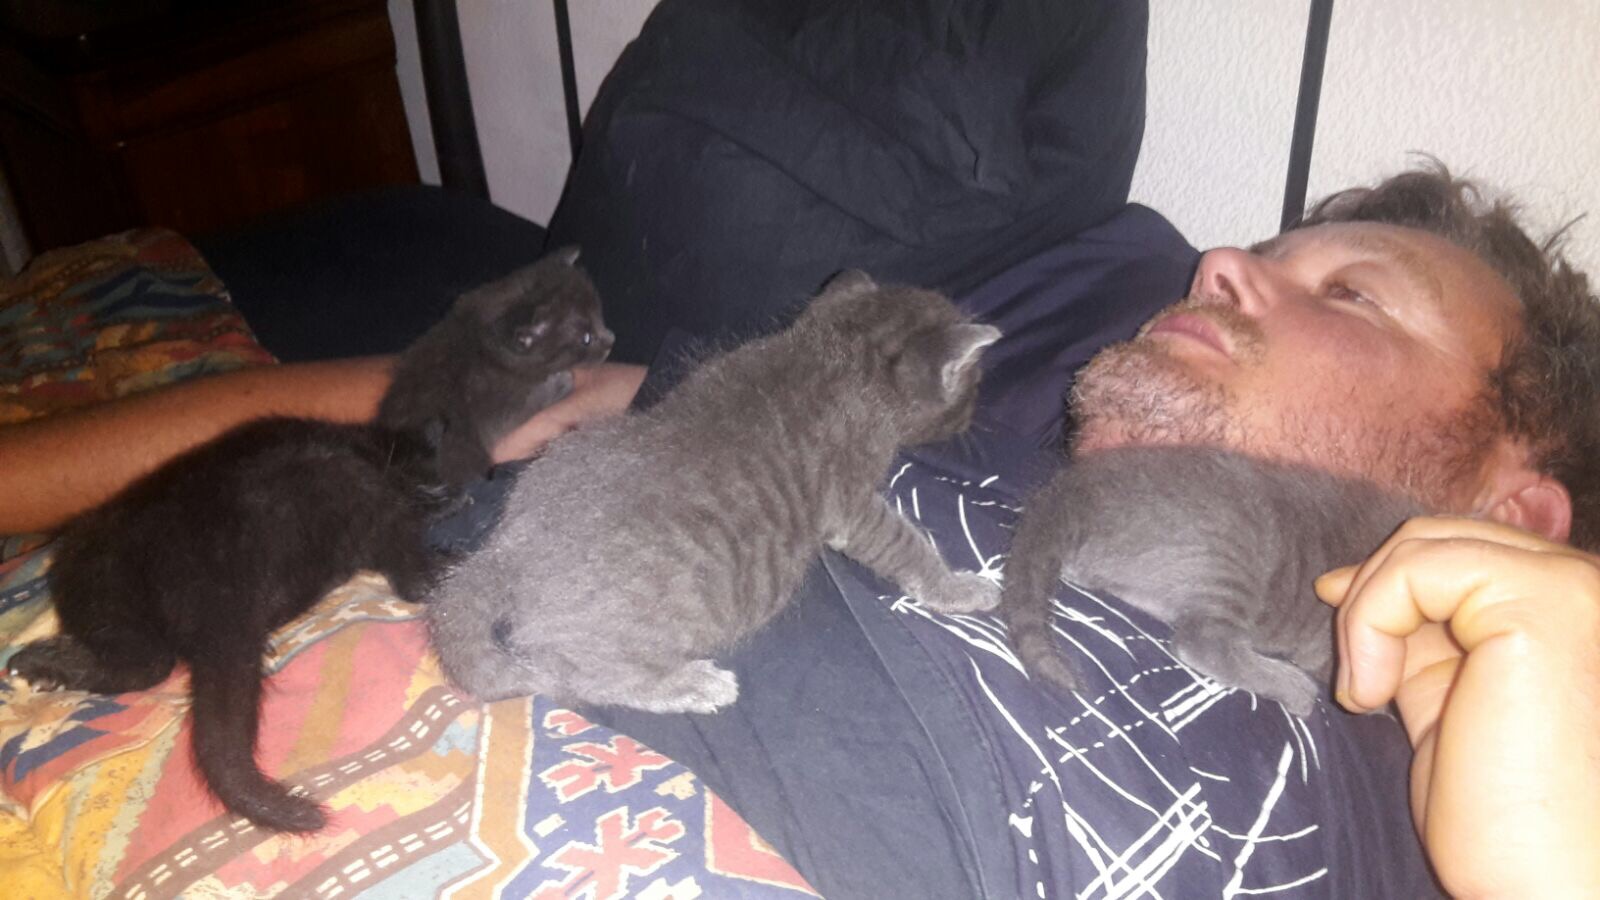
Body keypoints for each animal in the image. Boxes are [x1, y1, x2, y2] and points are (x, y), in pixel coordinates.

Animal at [379, 246, 614, 485]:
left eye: (600, 315)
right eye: (586, 339)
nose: (612, 341)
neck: (481, 339)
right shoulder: (502, 402)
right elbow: (534, 400)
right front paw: (562, 381)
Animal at [426, 270, 1004, 712]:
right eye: (975, 384)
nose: (978, 414)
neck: (841, 351)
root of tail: (508, 548)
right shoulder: (854, 504)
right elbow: (906, 545)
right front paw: (960, 588)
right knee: (585, 679)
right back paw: (694, 685)